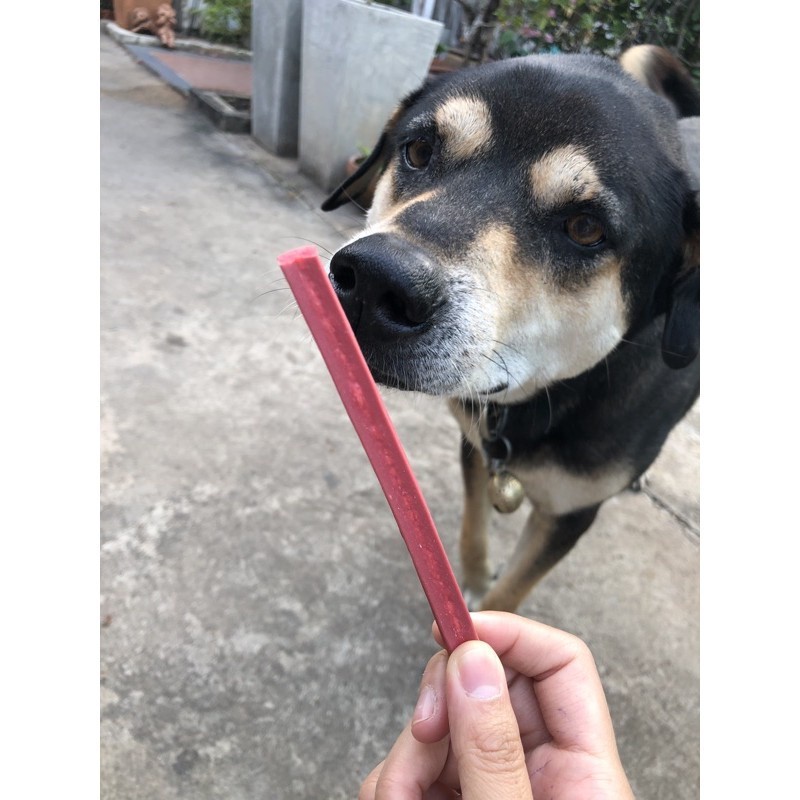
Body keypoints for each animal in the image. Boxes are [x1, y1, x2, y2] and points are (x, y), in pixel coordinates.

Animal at [321, 45, 699, 612]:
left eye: (585, 227)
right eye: (419, 151)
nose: (372, 282)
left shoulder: (570, 512)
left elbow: (513, 591)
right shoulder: (476, 442)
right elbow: (472, 529)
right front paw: (474, 581)